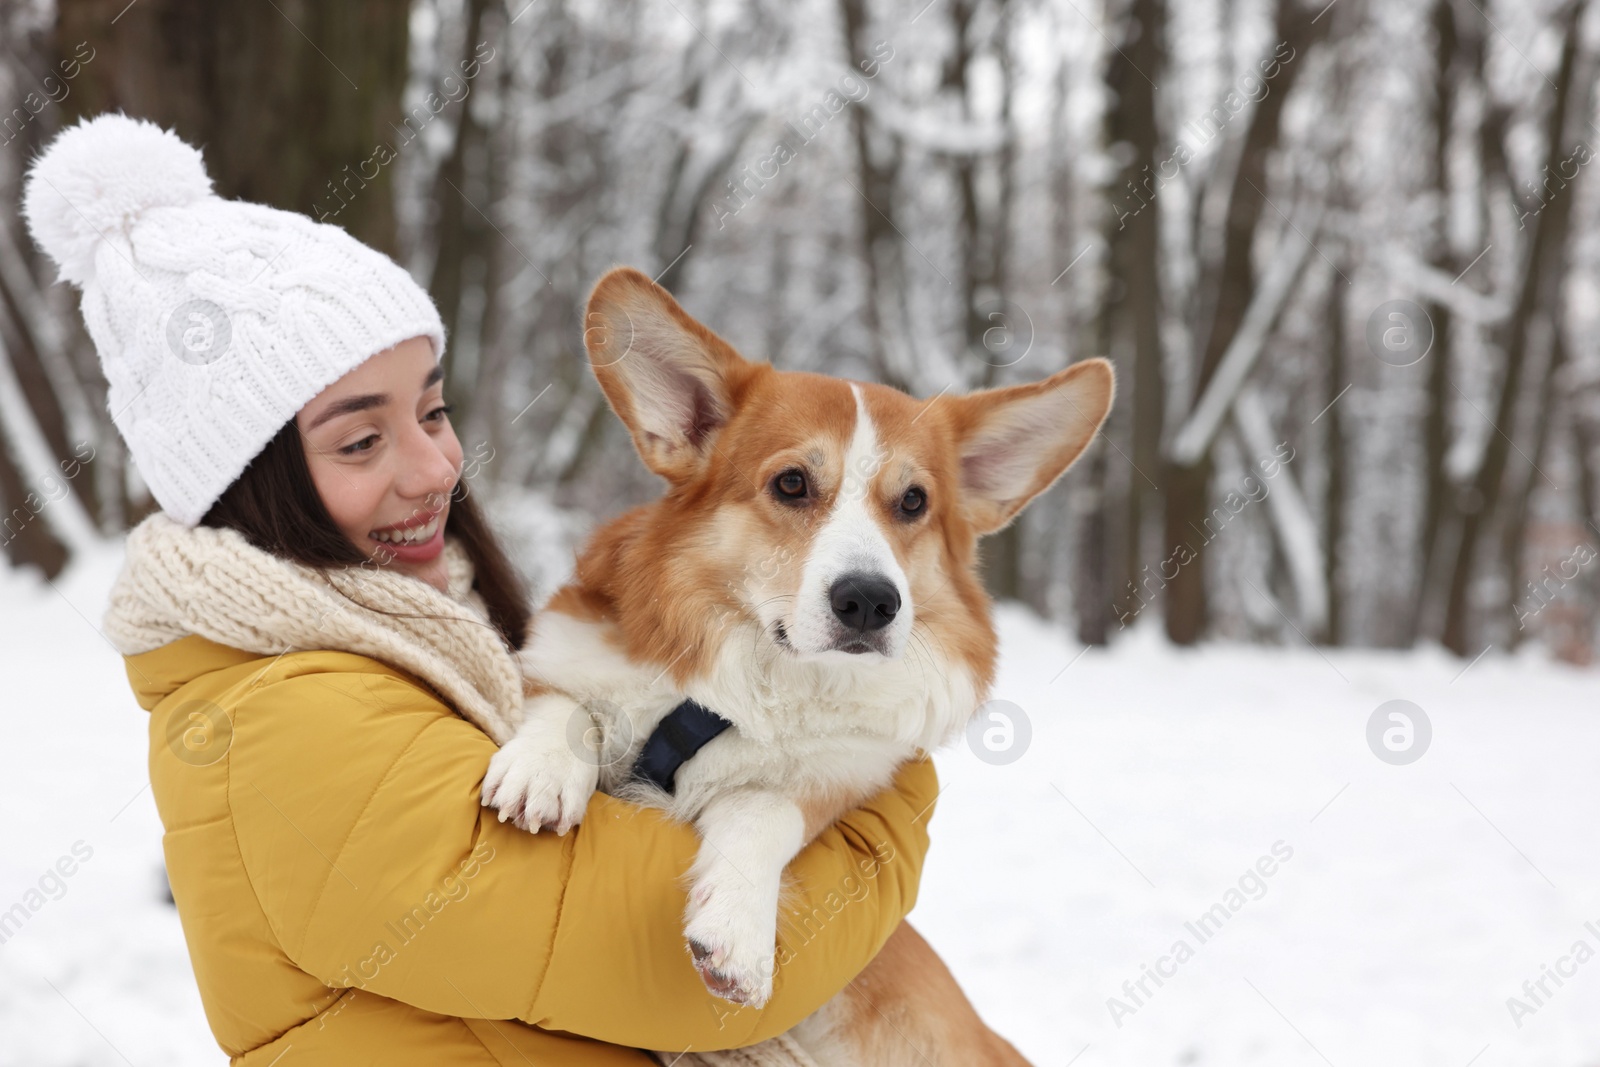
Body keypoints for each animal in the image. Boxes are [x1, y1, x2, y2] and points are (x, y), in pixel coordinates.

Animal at [486, 268, 1113, 1067]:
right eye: (791, 484)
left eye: (914, 501)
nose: (871, 602)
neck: (771, 676)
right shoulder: (567, 649)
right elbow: (567, 703)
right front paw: (540, 773)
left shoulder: (832, 787)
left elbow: (765, 808)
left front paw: (738, 935)